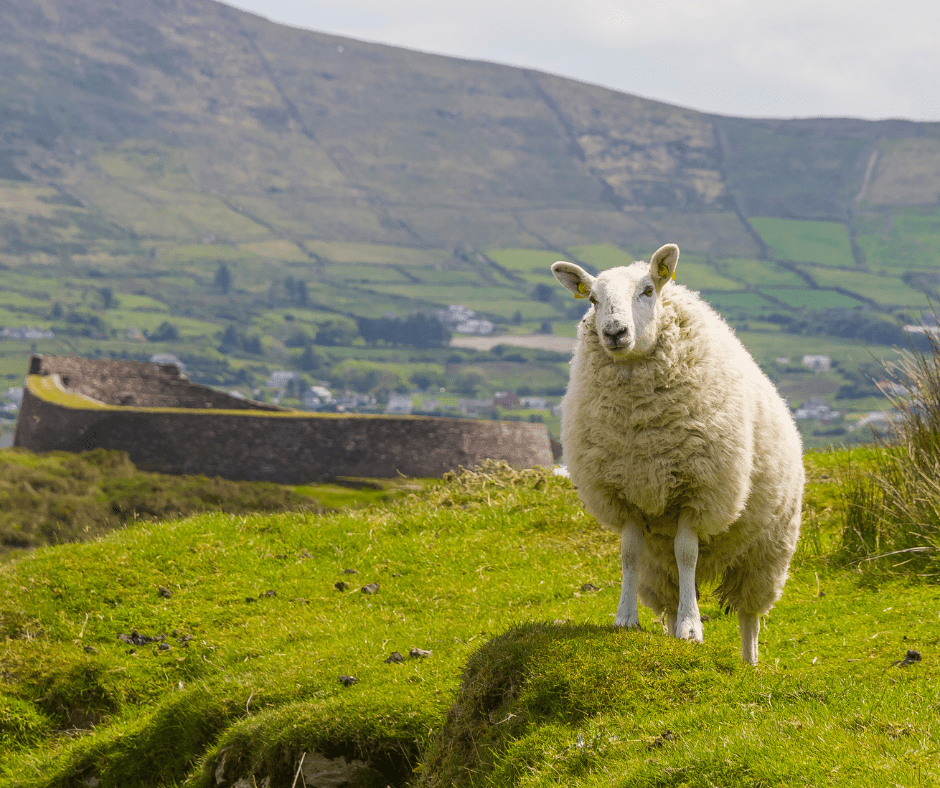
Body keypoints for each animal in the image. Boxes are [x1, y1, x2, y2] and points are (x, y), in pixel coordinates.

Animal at [552, 243, 803, 664]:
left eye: (648, 290)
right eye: (592, 299)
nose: (614, 332)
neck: (640, 425)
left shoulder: (698, 493)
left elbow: (687, 553)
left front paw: (691, 628)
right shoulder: (624, 494)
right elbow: (628, 555)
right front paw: (625, 620)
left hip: (766, 549)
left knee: (749, 614)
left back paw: (749, 662)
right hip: (660, 565)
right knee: (669, 589)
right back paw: (670, 632)